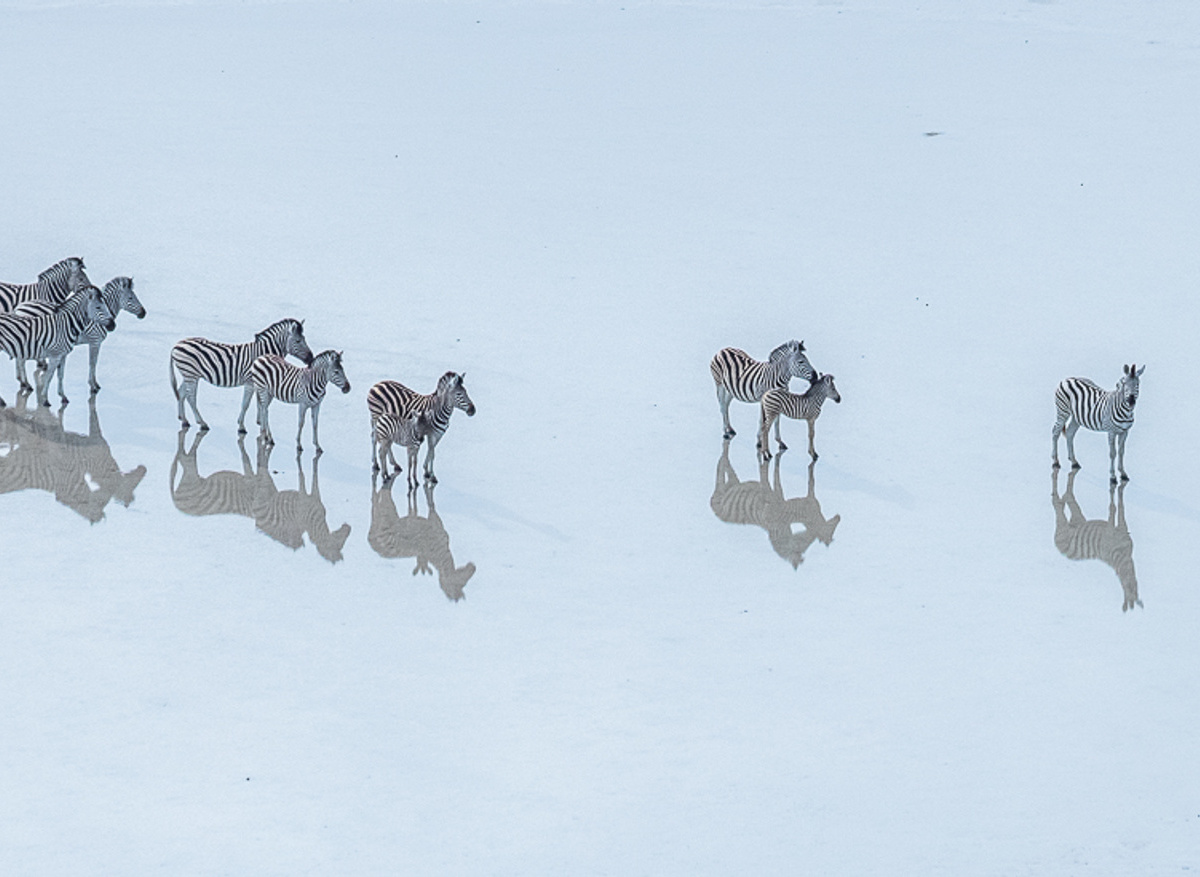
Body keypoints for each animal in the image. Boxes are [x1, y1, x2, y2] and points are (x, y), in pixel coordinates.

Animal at [170, 317, 314, 432]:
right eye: (298, 341)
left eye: (304, 339)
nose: (311, 358)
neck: (263, 353)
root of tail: (177, 345)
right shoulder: (251, 381)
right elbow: (246, 403)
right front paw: (241, 427)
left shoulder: (260, 382)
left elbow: (260, 402)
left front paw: (259, 422)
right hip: (191, 375)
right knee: (191, 397)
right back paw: (202, 423)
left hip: (189, 375)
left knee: (181, 392)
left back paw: (184, 420)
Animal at [1052, 467, 1141, 611]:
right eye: (1128, 587)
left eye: (1135, 588)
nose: (1132, 591)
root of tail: (1059, 548)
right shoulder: (1110, 531)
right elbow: (1113, 508)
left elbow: (1120, 507)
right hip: (1063, 525)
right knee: (1057, 504)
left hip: (1077, 520)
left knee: (1068, 497)